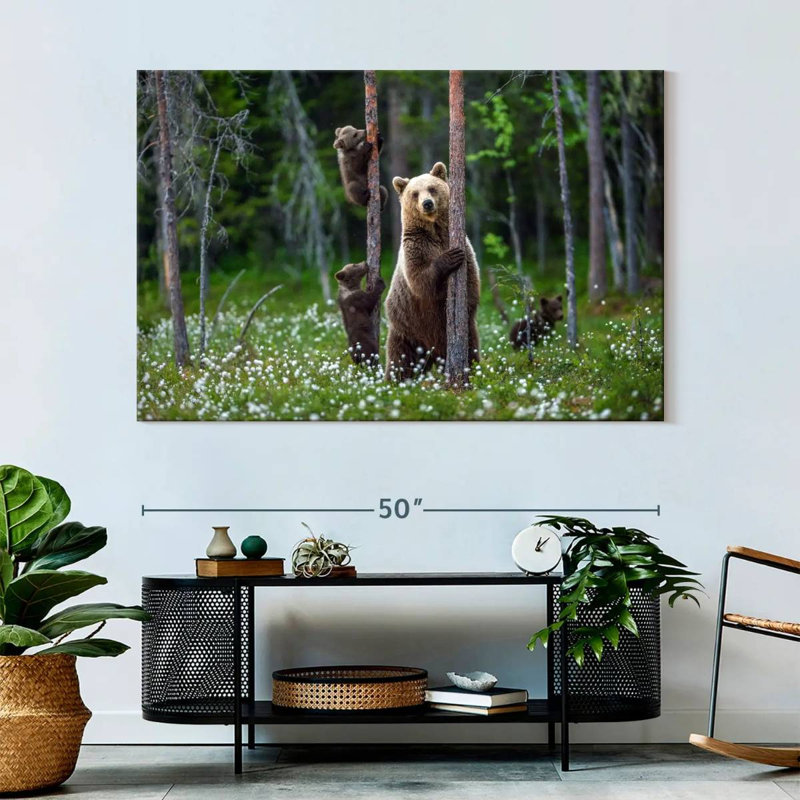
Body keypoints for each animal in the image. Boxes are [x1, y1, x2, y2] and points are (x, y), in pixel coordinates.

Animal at [384, 162, 481, 381]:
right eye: (414, 193)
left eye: (432, 188)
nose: (427, 203)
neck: (435, 231)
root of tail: (432, 352)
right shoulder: (416, 247)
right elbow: (420, 280)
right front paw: (450, 257)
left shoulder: (464, 246)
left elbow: (471, 282)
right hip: (406, 328)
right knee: (400, 360)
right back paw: (393, 381)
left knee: (471, 348)